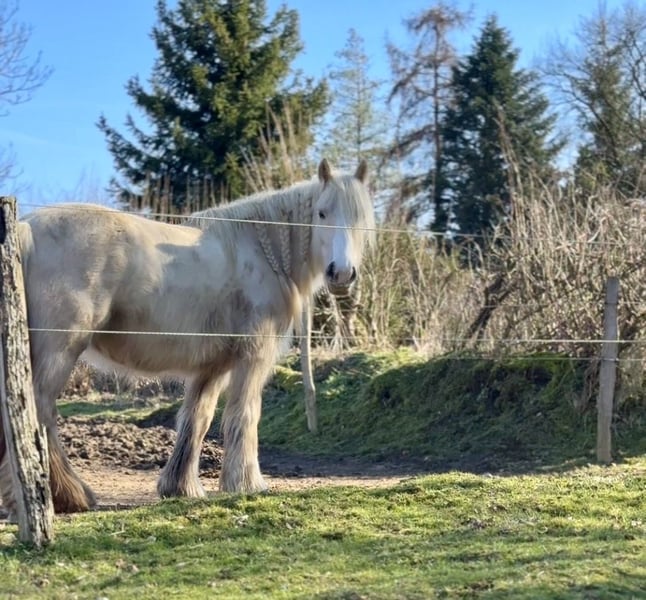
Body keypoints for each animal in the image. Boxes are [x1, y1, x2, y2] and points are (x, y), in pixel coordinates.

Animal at [0, 159, 375, 515]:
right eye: (322, 212)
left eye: (361, 217)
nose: (341, 273)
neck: (260, 249)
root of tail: (27, 228)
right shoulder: (253, 357)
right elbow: (245, 413)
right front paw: (247, 484)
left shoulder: (212, 367)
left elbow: (197, 419)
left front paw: (181, 487)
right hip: (59, 349)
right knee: (39, 410)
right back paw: (66, 495)